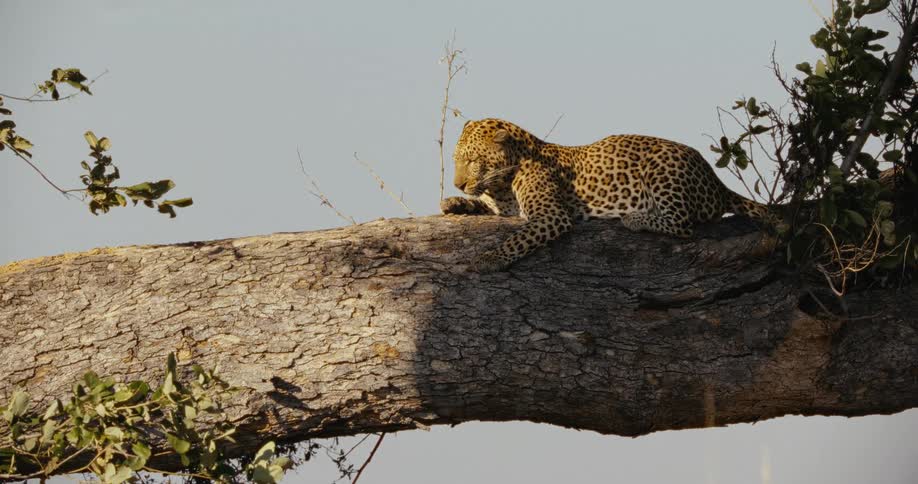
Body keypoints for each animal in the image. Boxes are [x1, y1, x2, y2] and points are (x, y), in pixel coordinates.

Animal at [441, 118, 771, 272]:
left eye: (473, 160)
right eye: (455, 160)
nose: (457, 185)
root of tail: (717, 181)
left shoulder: (551, 216)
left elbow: (518, 238)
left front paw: (491, 258)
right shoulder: (505, 209)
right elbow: (482, 206)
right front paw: (454, 202)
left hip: (661, 167)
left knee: (683, 224)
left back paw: (637, 218)